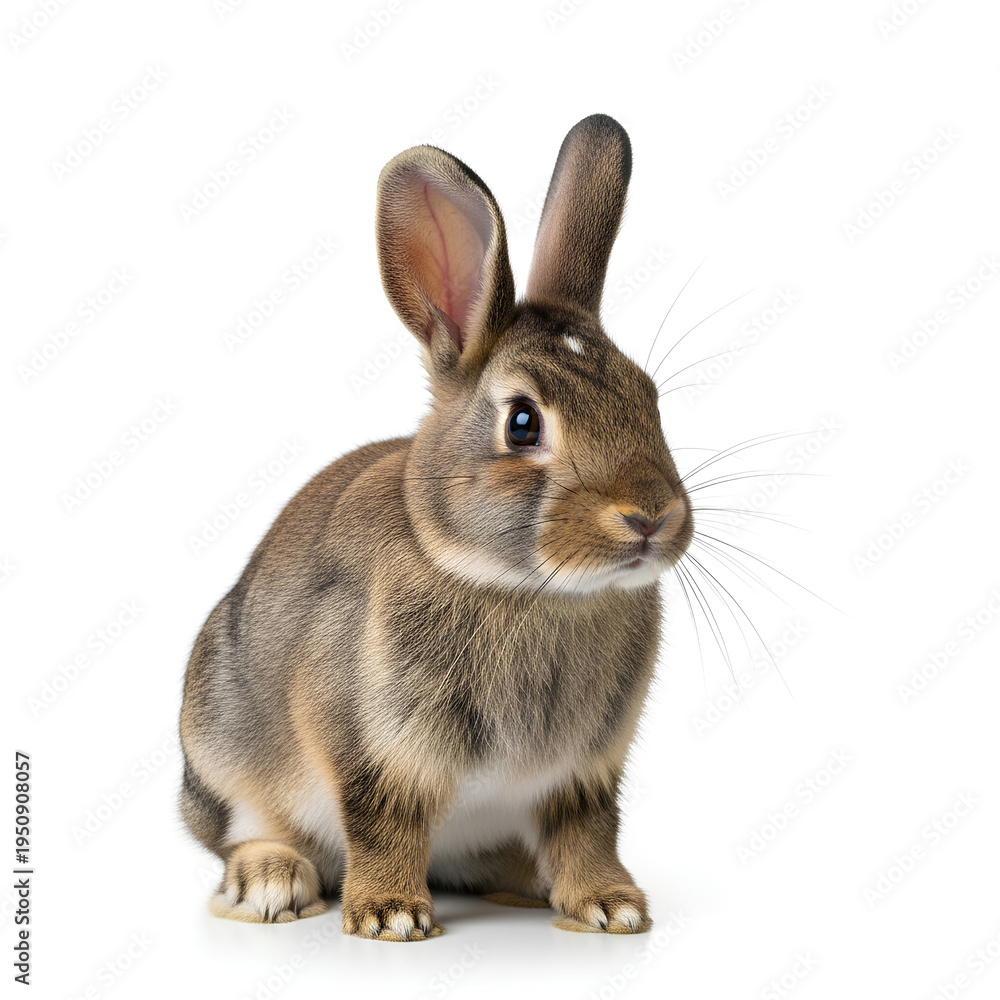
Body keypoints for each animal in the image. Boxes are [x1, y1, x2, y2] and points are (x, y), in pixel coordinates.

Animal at [179, 112, 694, 941]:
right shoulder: (372, 749)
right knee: (243, 831)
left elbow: (587, 830)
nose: (651, 517)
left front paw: (611, 906)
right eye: (523, 423)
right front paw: (390, 917)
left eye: (646, 397)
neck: (523, 587)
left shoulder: (584, 774)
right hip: (222, 748)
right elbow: (381, 820)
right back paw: (271, 884)